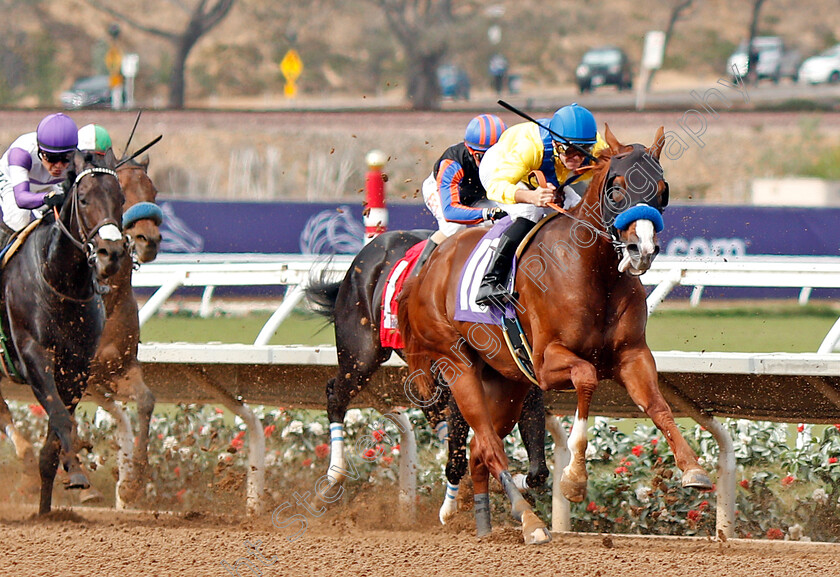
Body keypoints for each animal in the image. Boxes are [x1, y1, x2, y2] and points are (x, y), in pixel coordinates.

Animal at [0, 150, 125, 512]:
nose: (111, 254)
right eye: (83, 199)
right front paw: (77, 472)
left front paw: (54, 501)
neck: (59, 280)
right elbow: (59, 416)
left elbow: (56, 435)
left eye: (121, 199)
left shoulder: (77, 365)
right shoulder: (33, 354)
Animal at [398, 124, 708, 544]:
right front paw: (574, 479)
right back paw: (531, 522)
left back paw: (486, 525)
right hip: (458, 365)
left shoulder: (632, 355)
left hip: (506, 380)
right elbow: (587, 377)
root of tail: (428, 266)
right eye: (615, 189)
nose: (641, 250)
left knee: (478, 451)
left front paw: (693, 469)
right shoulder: (546, 364)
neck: (593, 271)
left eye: (662, 190)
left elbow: (658, 406)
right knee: (489, 447)